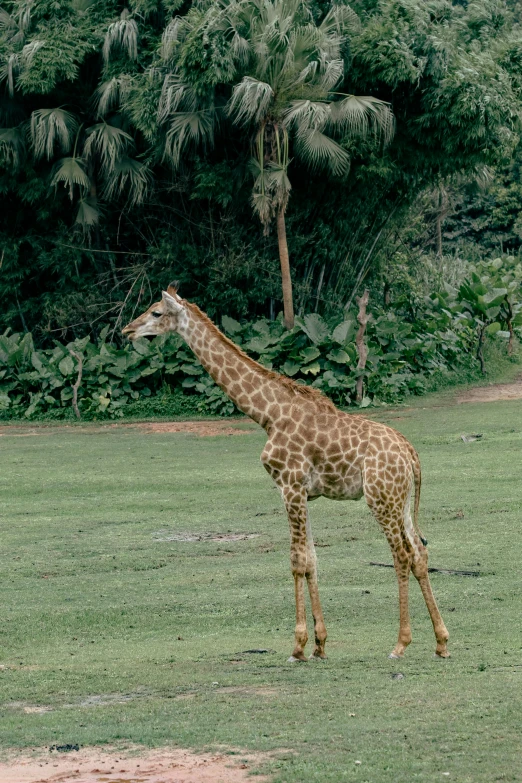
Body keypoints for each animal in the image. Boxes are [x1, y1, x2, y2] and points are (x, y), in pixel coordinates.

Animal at [122, 286, 446, 660]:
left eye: (156, 312)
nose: (127, 331)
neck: (267, 415)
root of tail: (411, 454)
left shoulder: (289, 486)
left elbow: (296, 561)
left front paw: (298, 646)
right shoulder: (303, 493)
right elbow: (313, 559)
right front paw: (320, 645)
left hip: (380, 499)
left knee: (401, 555)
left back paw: (400, 643)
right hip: (401, 500)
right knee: (420, 554)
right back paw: (441, 642)